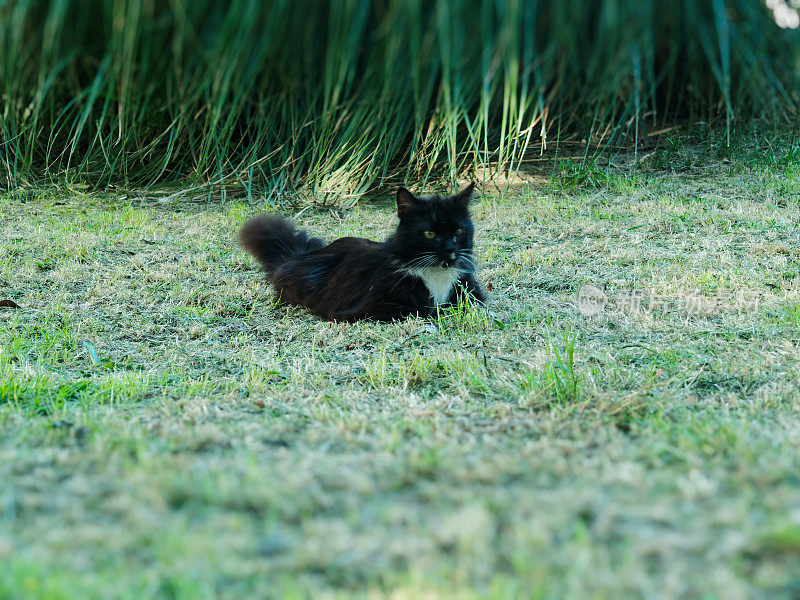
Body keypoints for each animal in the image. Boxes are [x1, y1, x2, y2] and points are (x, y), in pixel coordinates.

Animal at [238, 183, 488, 322]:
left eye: (459, 231)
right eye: (429, 234)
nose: (450, 249)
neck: (436, 273)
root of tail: (296, 256)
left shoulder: (473, 294)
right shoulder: (369, 307)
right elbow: (421, 310)